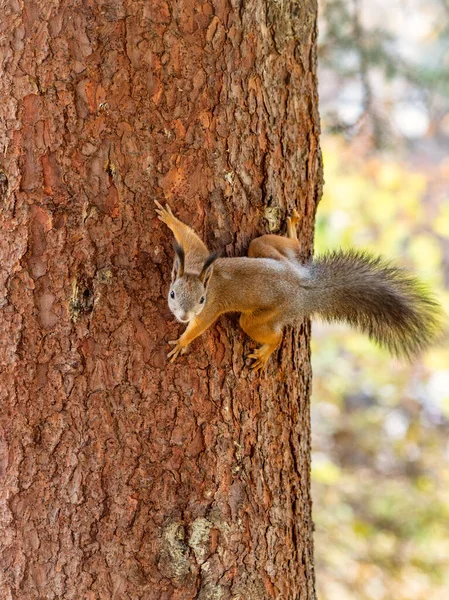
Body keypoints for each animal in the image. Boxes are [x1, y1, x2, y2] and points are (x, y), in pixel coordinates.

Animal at [153, 202, 440, 370]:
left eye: (201, 300)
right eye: (172, 293)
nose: (183, 316)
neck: (206, 281)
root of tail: (303, 287)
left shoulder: (210, 308)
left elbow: (200, 326)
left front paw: (182, 341)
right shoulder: (196, 257)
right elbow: (191, 238)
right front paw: (171, 220)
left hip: (266, 315)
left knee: (270, 333)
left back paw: (265, 353)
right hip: (266, 249)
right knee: (283, 244)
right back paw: (292, 228)